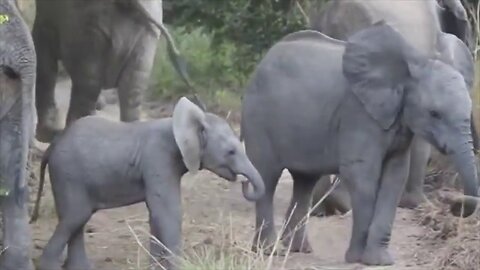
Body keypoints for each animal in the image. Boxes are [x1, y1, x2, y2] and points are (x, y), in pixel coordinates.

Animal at [29, 97, 266, 270]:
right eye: (231, 152)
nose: (243, 180)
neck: (178, 123)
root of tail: (52, 146)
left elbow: (156, 214)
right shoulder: (158, 158)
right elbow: (168, 212)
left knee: (78, 221)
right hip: (68, 175)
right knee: (75, 217)